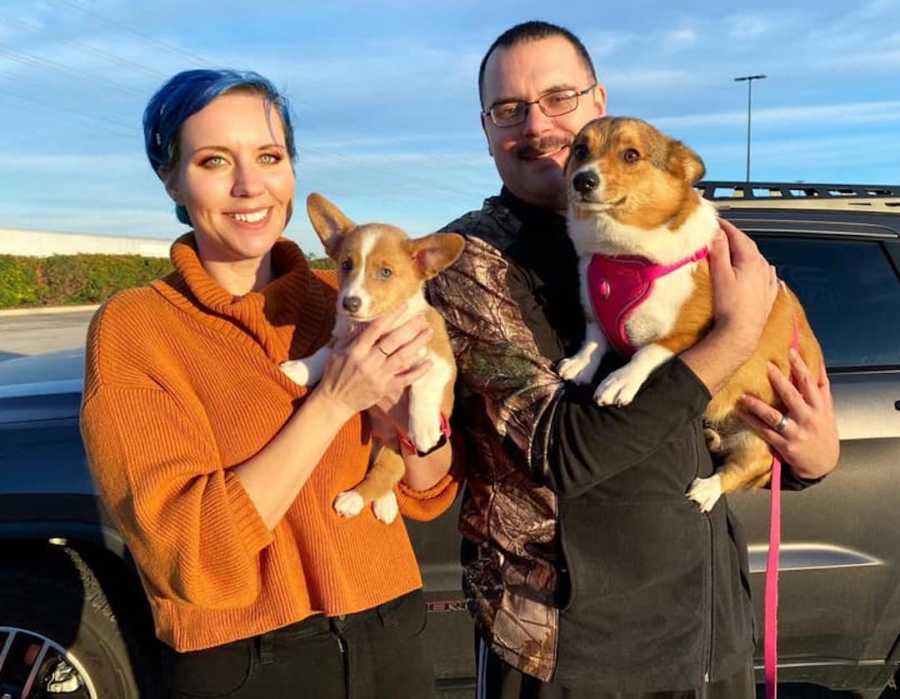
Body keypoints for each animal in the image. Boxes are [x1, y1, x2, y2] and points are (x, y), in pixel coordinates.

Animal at [280, 194, 464, 524]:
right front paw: (299, 369)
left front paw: (425, 428)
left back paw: (355, 500)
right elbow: (325, 353)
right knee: (385, 473)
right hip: (383, 444)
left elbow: (424, 383)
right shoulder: (342, 338)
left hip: (399, 448)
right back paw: (383, 502)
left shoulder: (441, 360)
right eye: (346, 265)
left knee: (386, 473)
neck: (376, 326)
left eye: (386, 273)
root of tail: (386, 439)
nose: (349, 303)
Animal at [564, 117, 824, 512]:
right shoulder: (593, 311)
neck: (622, 255)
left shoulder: (688, 331)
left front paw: (620, 381)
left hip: (759, 439)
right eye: (580, 149)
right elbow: (594, 340)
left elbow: (647, 352)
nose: (582, 180)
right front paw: (580, 365)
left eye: (631, 155)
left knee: (747, 467)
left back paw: (707, 489)